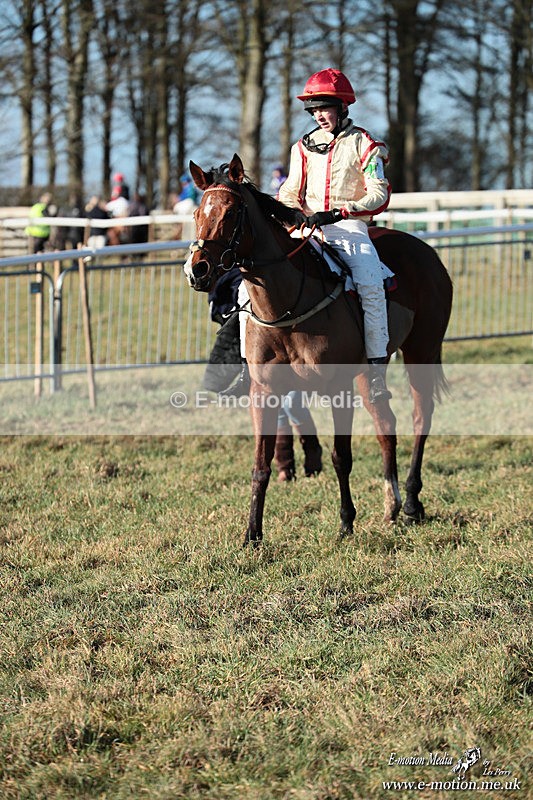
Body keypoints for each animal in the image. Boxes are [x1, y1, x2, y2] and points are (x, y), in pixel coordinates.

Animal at [185, 154, 453, 546]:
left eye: (231, 212)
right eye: (197, 212)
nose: (198, 269)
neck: (288, 306)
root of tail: (427, 251)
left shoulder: (338, 386)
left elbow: (342, 456)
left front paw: (345, 522)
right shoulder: (264, 391)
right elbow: (260, 465)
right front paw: (252, 533)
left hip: (422, 350)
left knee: (421, 417)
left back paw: (412, 501)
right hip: (371, 368)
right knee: (386, 423)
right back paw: (391, 505)